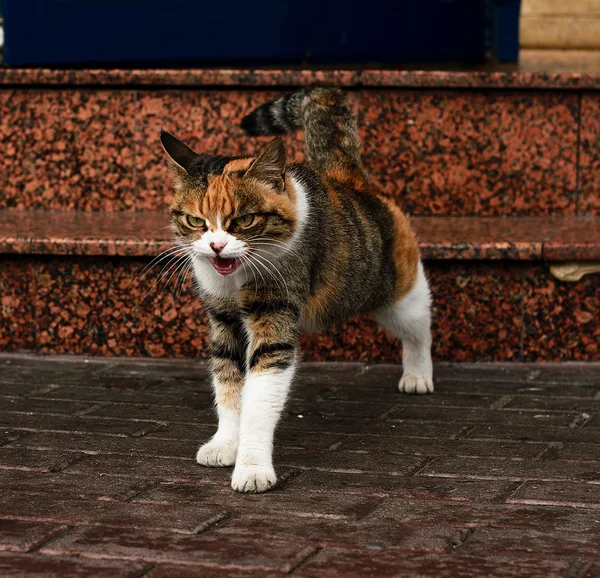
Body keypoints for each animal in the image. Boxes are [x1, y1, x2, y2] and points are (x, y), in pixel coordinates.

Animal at [159, 85, 432, 490]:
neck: (236, 275)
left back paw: (418, 375)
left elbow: (259, 397)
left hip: (396, 292)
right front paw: (225, 444)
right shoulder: (222, 317)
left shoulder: (274, 311)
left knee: (418, 326)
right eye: (196, 221)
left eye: (245, 220)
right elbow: (228, 383)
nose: (216, 246)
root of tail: (346, 179)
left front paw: (252, 468)